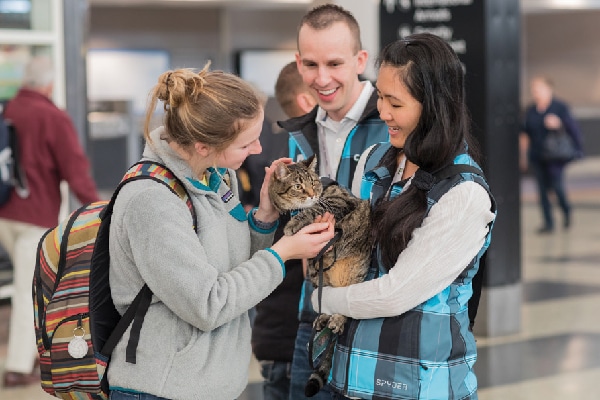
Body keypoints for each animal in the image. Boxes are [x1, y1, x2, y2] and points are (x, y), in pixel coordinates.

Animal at [270, 155, 372, 396]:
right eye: (298, 186)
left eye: (314, 182)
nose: (312, 194)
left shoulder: (339, 202)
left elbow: (313, 210)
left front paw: (294, 223)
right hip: (317, 274)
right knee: (328, 297)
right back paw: (324, 318)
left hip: (356, 274)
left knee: (348, 305)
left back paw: (336, 320)